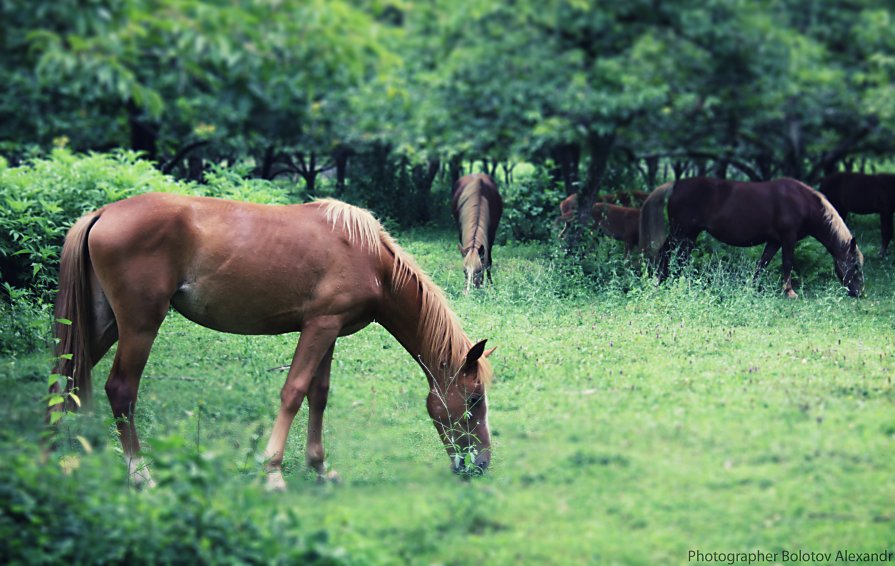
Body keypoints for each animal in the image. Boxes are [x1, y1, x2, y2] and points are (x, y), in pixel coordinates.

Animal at [50, 193, 496, 490]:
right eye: (474, 399)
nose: (481, 463)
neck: (370, 260)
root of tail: (102, 213)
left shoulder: (328, 329)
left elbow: (319, 394)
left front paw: (319, 467)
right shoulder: (318, 328)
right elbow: (293, 392)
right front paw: (273, 473)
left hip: (102, 324)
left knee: (65, 378)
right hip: (139, 326)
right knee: (119, 390)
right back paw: (140, 473)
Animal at [644, 179, 868, 300]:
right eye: (855, 266)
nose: (859, 293)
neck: (802, 202)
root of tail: (677, 184)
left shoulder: (774, 241)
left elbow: (762, 264)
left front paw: (751, 288)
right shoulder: (788, 238)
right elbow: (787, 263)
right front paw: (789, 292)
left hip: (689, 235)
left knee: (679, 257)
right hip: (681, 232)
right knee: (667, 254)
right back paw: (660, 282)